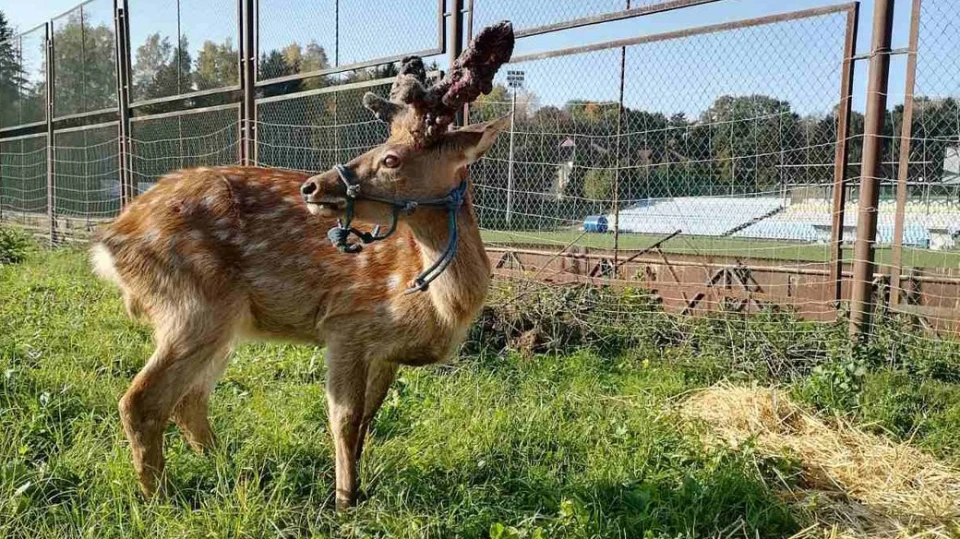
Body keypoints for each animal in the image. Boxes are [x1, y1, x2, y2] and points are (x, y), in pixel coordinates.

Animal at [90, 22, 514, 509]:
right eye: (380, 144)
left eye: (391, 158)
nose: (312, 186)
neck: (442, 304)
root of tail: (111, 239)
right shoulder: (346, 323)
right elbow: (344, 417)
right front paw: (344, 499)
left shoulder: (384, 352)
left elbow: (369, 417)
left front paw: (359, 487)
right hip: (193, 304)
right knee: (141, 401)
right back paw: (162, 498)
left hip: (221, 322)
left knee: (188, 399)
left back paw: (227, 469)